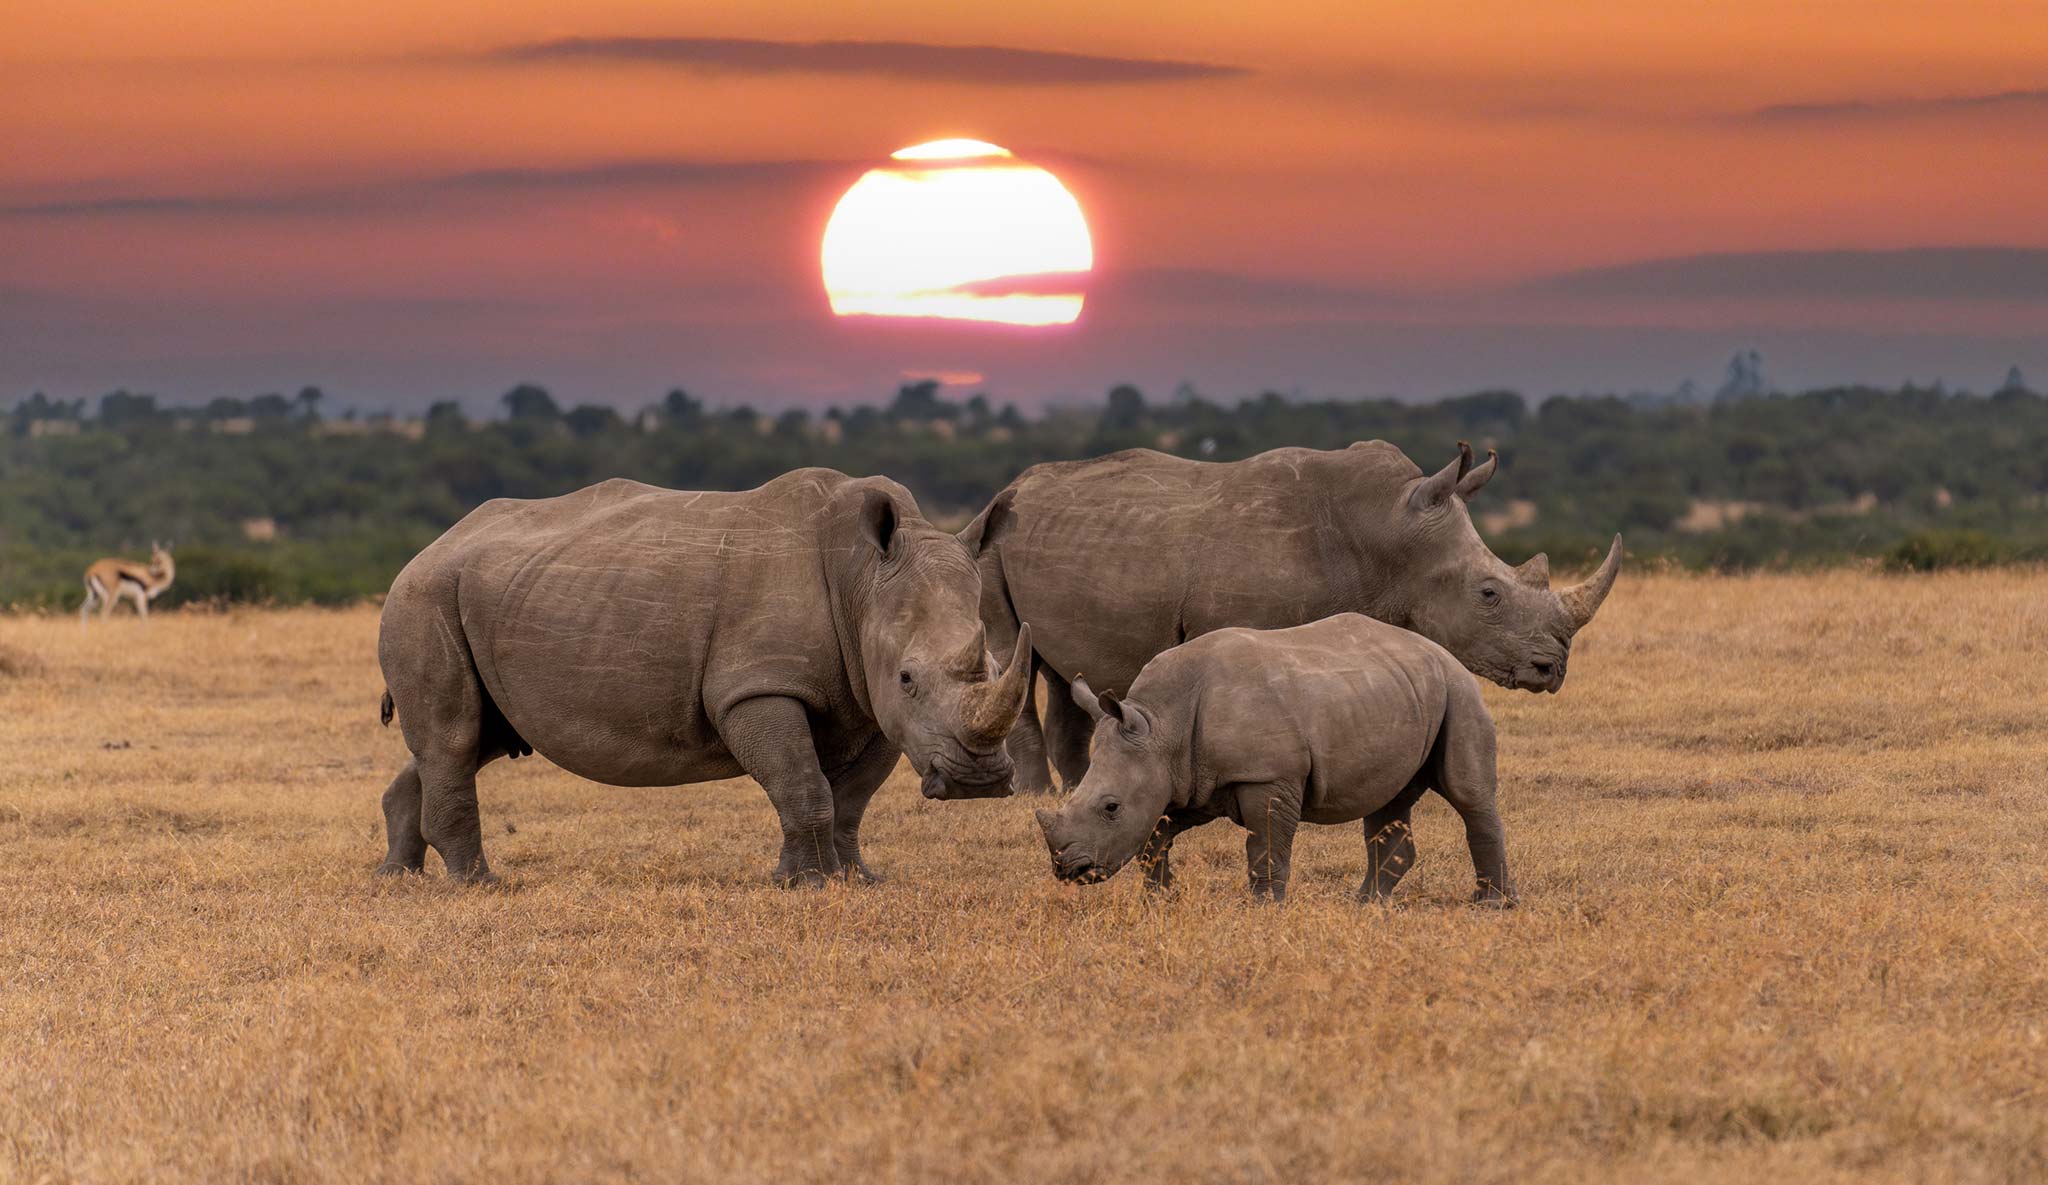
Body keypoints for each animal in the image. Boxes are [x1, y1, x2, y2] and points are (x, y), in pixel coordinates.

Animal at [374, 471, 1032, 886]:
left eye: (1001, 667)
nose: (978, 782)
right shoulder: (757, 686)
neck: (863, 581)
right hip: (422, 595)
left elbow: (850, 799)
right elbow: (802, 784)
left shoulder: (869, 703)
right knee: (455, 738)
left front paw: (855, 880)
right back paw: (479, 885)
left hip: (488, 594)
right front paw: (807, 885)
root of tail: (434, 544)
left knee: (472, 740)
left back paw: (397, 878)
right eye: (908, 677)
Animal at [961, 441, 1620, 793]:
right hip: (990, 542)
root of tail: (1010, 487)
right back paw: (1030, 794)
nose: (1552, 670)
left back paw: (1078, 786)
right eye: (1488, 594)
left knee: (1060, 668)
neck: (1389, 535)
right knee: (1014, 651)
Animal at [1034, 613, 1512, 905]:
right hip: (1399, 690)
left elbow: (1265, 845)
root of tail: (1442, 650)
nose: (1068, 869)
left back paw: (1493, 905)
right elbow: (1156, 837)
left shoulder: (1267, 775)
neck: (1161, 723)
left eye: (1111, 808)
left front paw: (1264, 908)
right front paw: (1162, 898)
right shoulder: (1188, 778)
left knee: (1468, 794)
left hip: (1458, 690)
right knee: (1387, 800)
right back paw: (1366, 904)